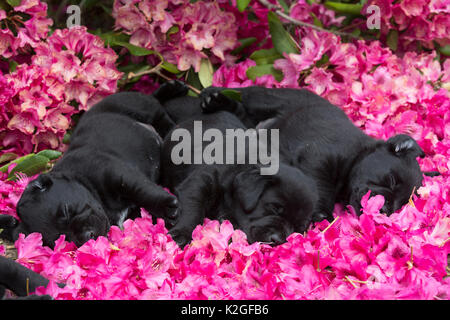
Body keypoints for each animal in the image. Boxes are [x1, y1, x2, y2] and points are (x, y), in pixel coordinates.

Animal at [1, 89, 182, 249]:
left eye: (66, 211)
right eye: (61, 239)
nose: (88, 236)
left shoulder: (118, 174)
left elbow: (141, 190)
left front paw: (164, 208)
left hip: (137, 105)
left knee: (160, 113)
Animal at [200, 86, 426, 224]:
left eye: (400, 206)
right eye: (391, 180)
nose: (385, 209)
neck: (357, 152)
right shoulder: (317, 157)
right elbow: (320, 185)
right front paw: (321, 213)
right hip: (266, 99)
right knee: (244, 95)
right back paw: (213, 98)